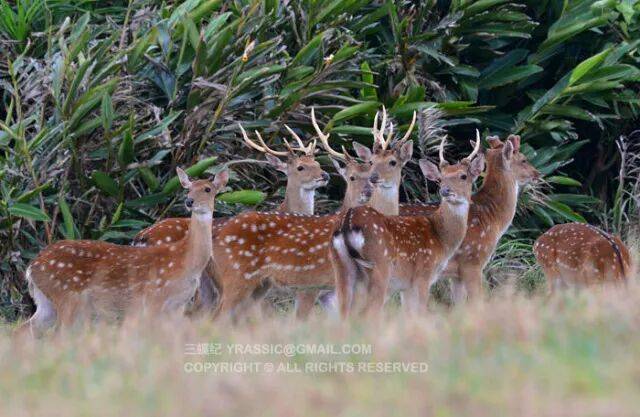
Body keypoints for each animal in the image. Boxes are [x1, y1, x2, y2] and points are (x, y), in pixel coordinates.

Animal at [19, 168, 229, 336]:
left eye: (208, 189)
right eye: (188, 188)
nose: (189, 201)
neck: (185, 260)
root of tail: (31, 268)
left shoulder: (177, 306)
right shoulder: (154, 298)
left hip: (46, 303)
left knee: (23, 331)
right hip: (67, 297)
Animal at [330, 134, 484, 318]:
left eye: (463, 176)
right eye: (441, 178)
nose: (445, 191)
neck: (441, 238)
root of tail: (348, 223)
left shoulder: (407, 285)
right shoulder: (423, 273)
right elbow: (421, 312)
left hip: (341, 269)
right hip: (380, 267)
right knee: (370, 313)